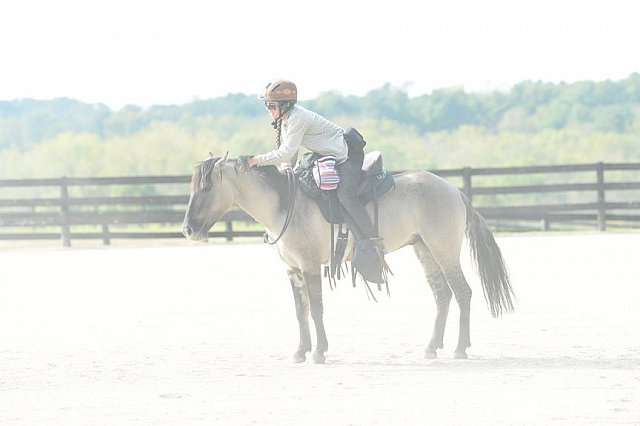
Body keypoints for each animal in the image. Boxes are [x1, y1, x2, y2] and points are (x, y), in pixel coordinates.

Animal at [181, 152, 516, 362]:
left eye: (207, 186)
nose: (187, 229)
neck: (285, 204)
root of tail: (453, 189)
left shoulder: (309, 266)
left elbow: (316, 309)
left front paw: (319, 352)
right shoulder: (293, 271)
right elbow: (300, 311)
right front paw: (300, 351)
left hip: (444, 250)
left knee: (462, 292)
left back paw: (460, 348)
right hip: (424, 249)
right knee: (442, 295)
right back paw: (432, 347)